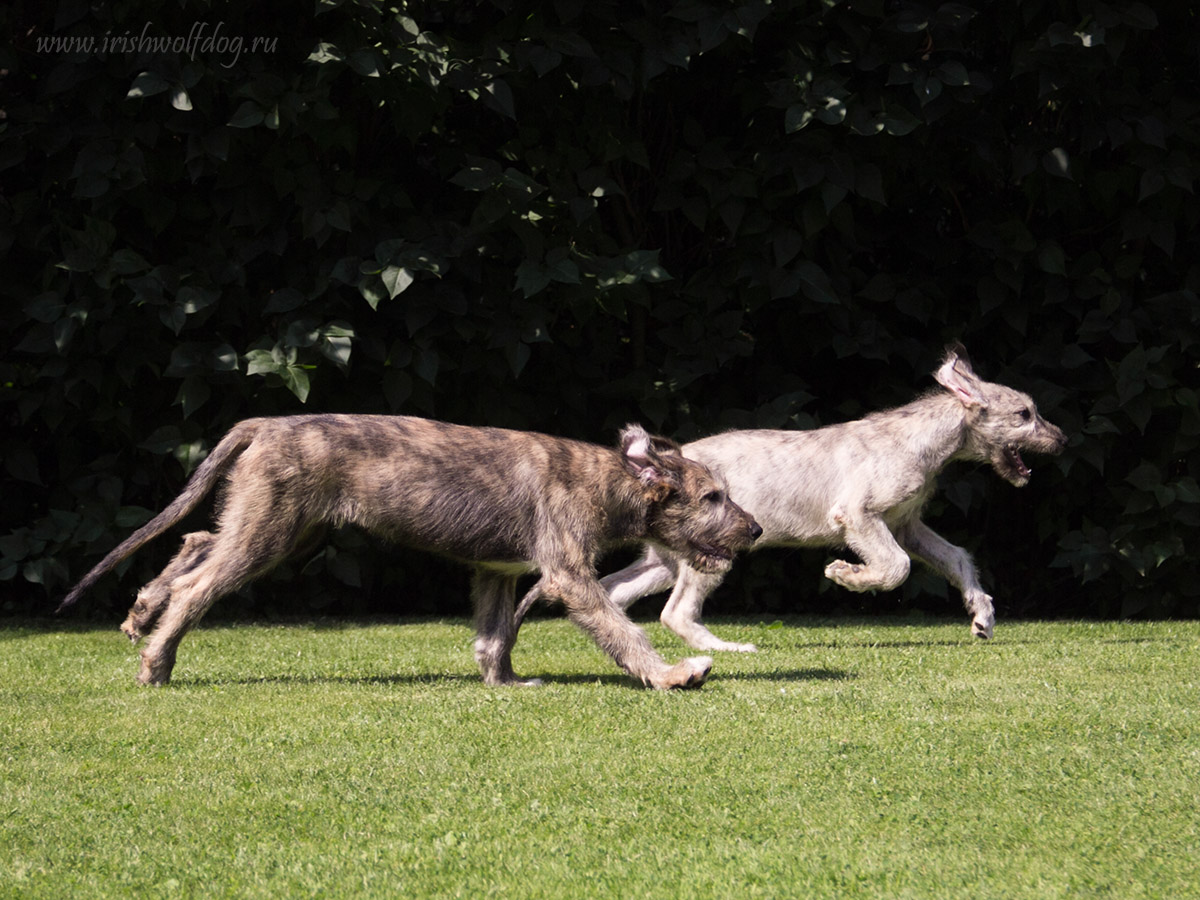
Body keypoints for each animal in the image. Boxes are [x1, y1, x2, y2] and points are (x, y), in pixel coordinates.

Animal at [56, 415, 758, 691]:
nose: (752, 530)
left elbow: (495, 636)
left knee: (198, 541)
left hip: (282, 528)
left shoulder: (497, 572)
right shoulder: (568, 574)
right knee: (198, 586)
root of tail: (265, 424)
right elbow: (620, 630)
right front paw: (671, 673)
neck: (606, 480)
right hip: (270, 532)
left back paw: (141, 613)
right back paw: (157, 659)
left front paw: (505, 683)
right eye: (712, 496)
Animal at [595, 343, 1065, 648]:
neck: (923, 440)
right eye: (1024, 414)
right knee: (675, 613)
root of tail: (655, 471)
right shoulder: (859, 515)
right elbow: (897, 567)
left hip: (663, 561)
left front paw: (982, 615)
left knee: (611, 590)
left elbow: (956, 557)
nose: (1062, 440)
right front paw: (846, 574)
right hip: (707, 553)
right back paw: (726, 649)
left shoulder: (906, 524)